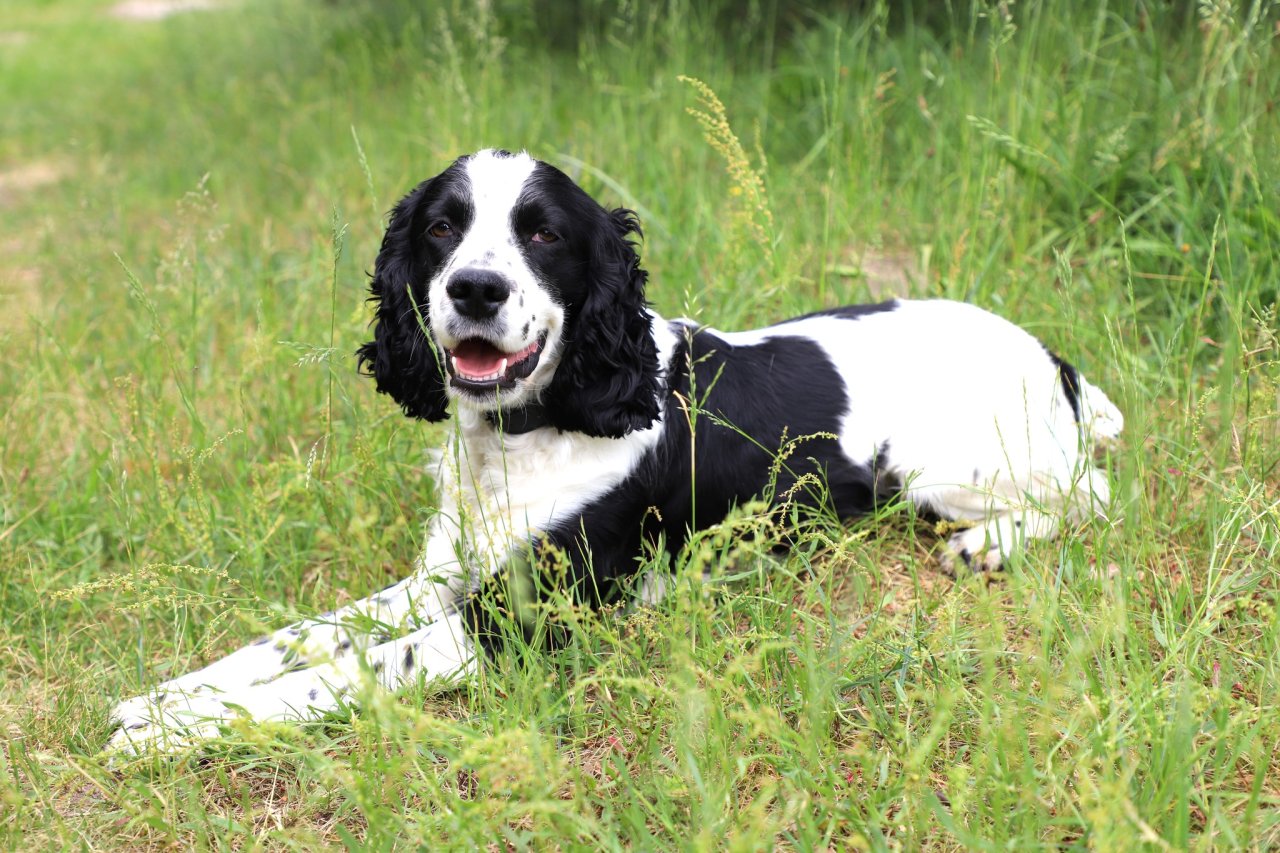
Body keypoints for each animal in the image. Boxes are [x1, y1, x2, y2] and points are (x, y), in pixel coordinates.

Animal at [107, 151, 1121, 753]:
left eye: (544, 232)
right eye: (440, 226)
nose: (475, 289)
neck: (534, 428)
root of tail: (1052, 357)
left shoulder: (523, 620)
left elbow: (351, 668)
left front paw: (169, 730)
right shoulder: (445, 575)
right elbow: (301, 637)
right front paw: (169, 695)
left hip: (940, 468)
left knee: (1091, 494)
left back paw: (986, 545)